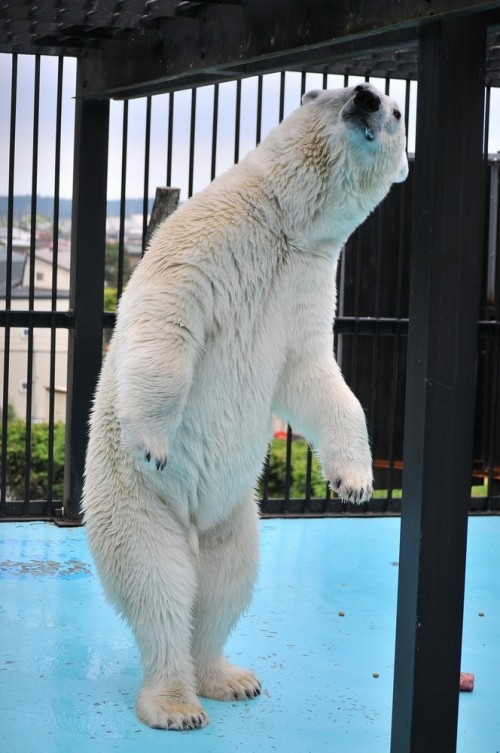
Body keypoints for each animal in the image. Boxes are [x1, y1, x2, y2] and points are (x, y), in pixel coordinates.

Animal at [82, 81, 406, 728]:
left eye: (396, 109)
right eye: (342, 90)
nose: (364, 99)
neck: (284, 222)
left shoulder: (308, 280)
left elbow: (313, 375)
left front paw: (355, 483)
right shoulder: (208, 235)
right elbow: (169, 318)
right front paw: (153, 439)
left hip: (234, 513)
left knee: (225, 581)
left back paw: (227, 677)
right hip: (132, 500)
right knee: (157, 582)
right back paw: (175, 702)